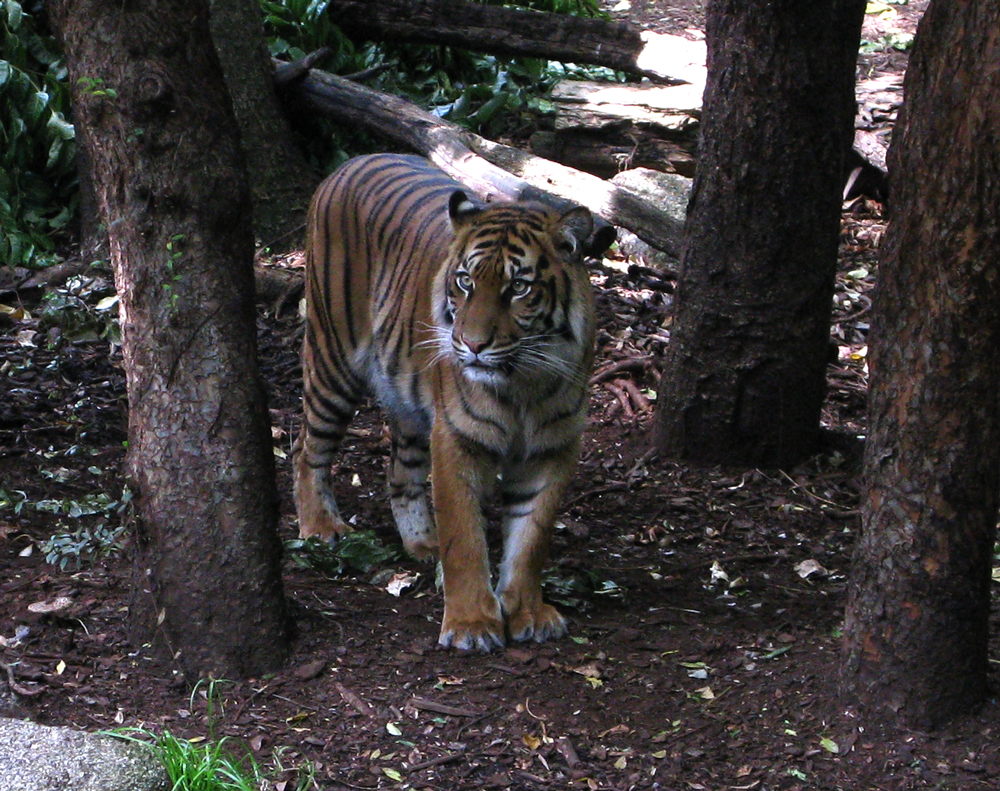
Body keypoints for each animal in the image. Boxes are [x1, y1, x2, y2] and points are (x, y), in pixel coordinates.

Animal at [293, 153, 602, 652]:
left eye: (518, 288)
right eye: (465, 282)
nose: (471, 345)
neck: (523, 384)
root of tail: (350, 163)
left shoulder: (554, 448)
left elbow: (531, 538)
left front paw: (528, 612)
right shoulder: (457, 437)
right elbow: (465, 538)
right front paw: (472, 624)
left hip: (409, 401)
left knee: (400, 473)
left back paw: (422, 544)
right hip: (332, 357)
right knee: (306, 447)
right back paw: (322, 528)